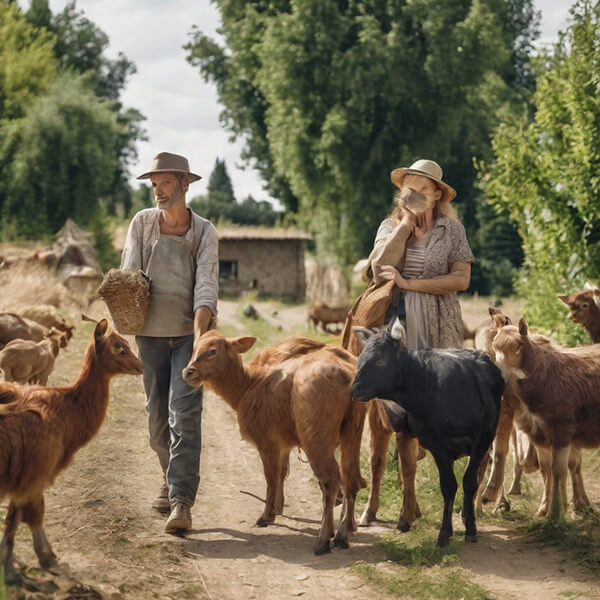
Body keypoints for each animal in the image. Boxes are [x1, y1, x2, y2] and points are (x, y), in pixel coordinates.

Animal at [0, 318, 143, 584]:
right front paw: (20, 566)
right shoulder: (33, 475)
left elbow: (24, 514)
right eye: (118, 346)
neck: (66, 406)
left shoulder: (28, 479)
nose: (139, 366)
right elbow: (27, 515)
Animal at [180, 330, 368, 556]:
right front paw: (278, 508)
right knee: (351, 479)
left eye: (212, 351)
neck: (250, 385)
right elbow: (281, 473)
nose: (187, 372)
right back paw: (341, 534)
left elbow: (270, 476)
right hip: (352, 434)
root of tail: (346, 372)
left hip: (317, 439)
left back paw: (324, 538)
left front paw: (266, 516)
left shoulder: (267, 443)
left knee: (331, 480)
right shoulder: (283, 444)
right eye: (194, 348)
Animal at [492, 318, 600, 520]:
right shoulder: (539, 434)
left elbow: (558, 471)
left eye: (518, 346)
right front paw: (545, 508)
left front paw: (555, 515)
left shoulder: (562, 431)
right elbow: (547, 469)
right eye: (494, 346)